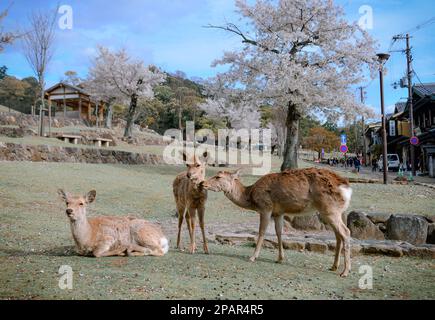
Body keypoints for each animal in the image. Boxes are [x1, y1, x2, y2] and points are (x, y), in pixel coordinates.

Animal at [204, 168, 354, 278]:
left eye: (218, 177)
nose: (202, 183)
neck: (250, 196)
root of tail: (347, 189)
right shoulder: (278, 212)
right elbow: (279, 232)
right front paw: (280, 258)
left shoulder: (266, 207)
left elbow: (262, 231)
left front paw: (253, 257)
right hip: (334, 211)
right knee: (338, 234)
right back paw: (334, 266)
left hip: (330, 209)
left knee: (346, 232)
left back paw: (345, 271)